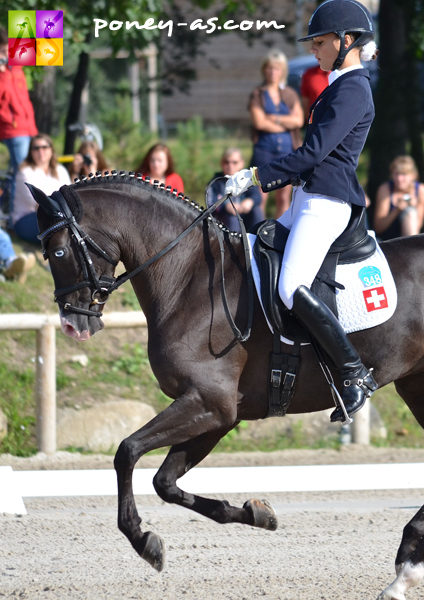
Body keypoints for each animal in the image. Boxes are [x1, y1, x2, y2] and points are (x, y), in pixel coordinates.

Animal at [31, 173, 424, 600]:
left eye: (58, 252)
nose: (73, 324)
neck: (188, 277)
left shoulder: (210, 404)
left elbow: (127, 451)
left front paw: (142, 539)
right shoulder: (218, 413)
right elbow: (165, 482)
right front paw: (258, 514)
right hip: (414, 385)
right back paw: (406, 566)